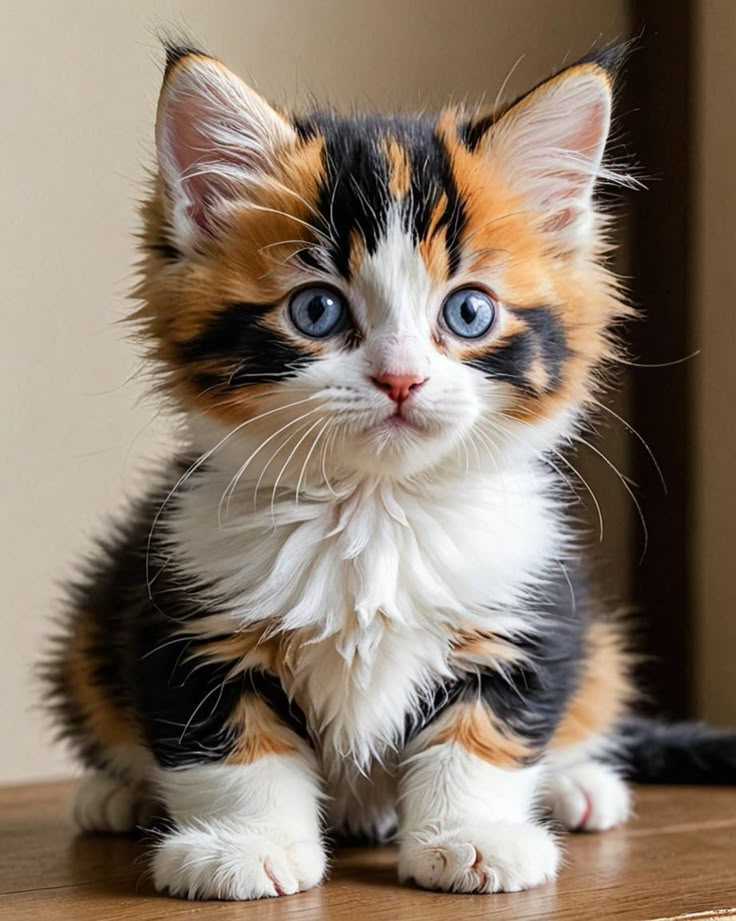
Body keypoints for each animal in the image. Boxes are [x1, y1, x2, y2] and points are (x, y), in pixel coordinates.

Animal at [46, 43, 736, 900]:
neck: (375, 508)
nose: (401, 378)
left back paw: (580, 785)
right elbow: (231, 744)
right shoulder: (184, 606)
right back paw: (117, 792)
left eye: (468, 312)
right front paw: (245, 845)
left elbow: (482, 736)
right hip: (91, 624)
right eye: (316, 311)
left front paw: (472, 836)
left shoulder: (532, 606)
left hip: (597, 640)